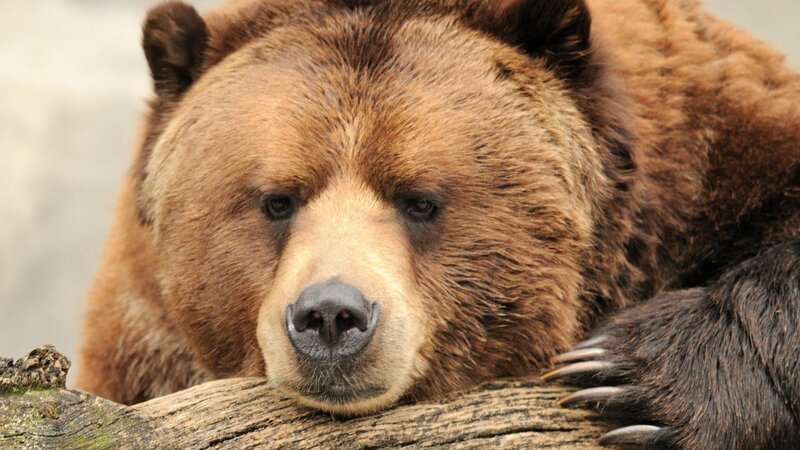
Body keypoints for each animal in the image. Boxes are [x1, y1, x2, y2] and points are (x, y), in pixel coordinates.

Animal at [76, 0, 800, 448]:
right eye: (278, 200)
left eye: (419, 199)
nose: (330, 316)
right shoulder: (139, 339)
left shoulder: (709, 152)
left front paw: (627, 380)